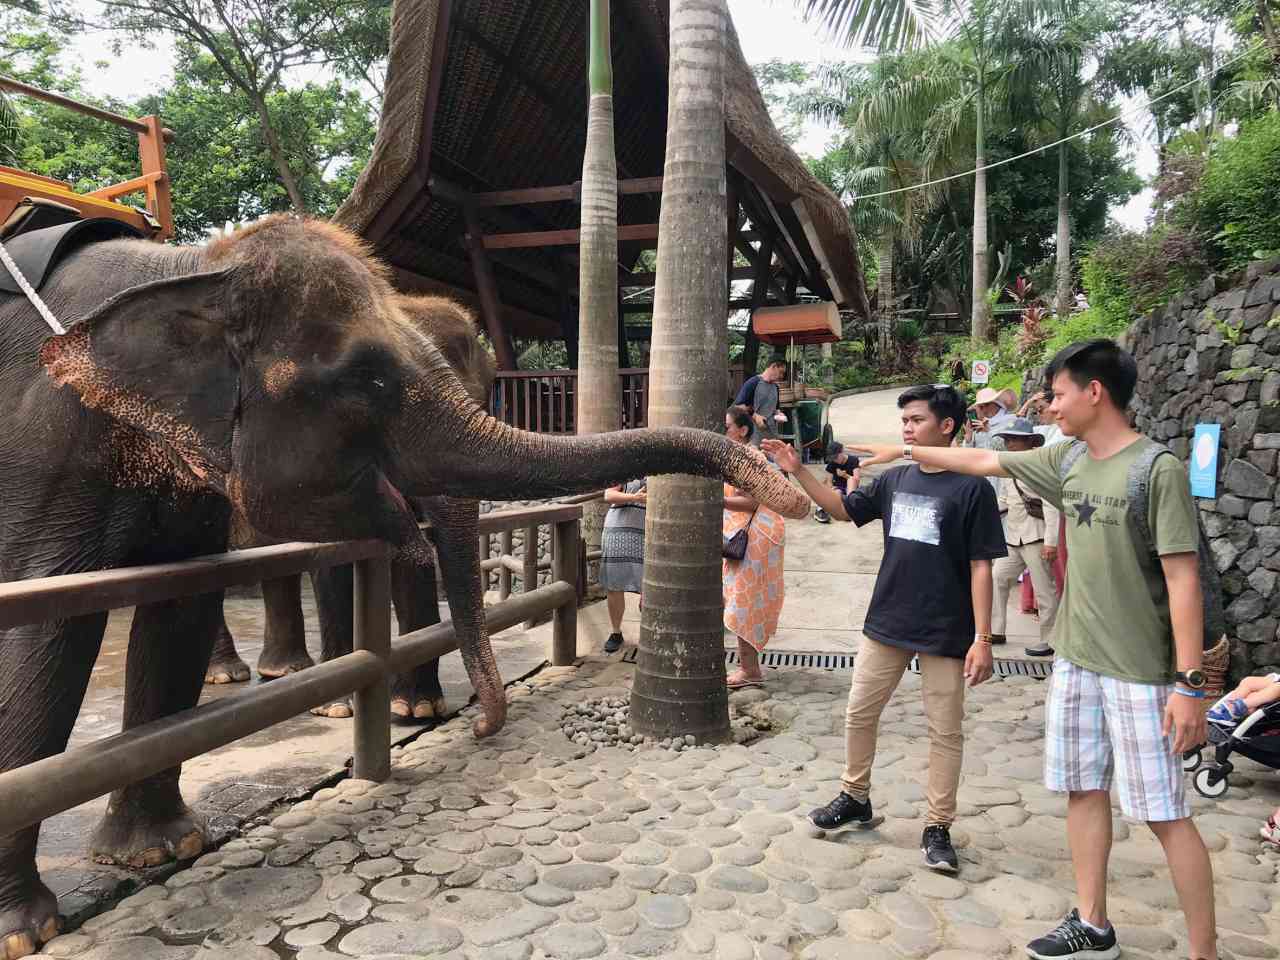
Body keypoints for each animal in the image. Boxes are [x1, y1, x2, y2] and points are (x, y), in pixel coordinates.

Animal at [204, 293, 494, 721]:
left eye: (484, 400)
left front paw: (418, 708)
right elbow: (333, 558)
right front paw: (337, 709)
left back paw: (282, 671)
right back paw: (227, 674)